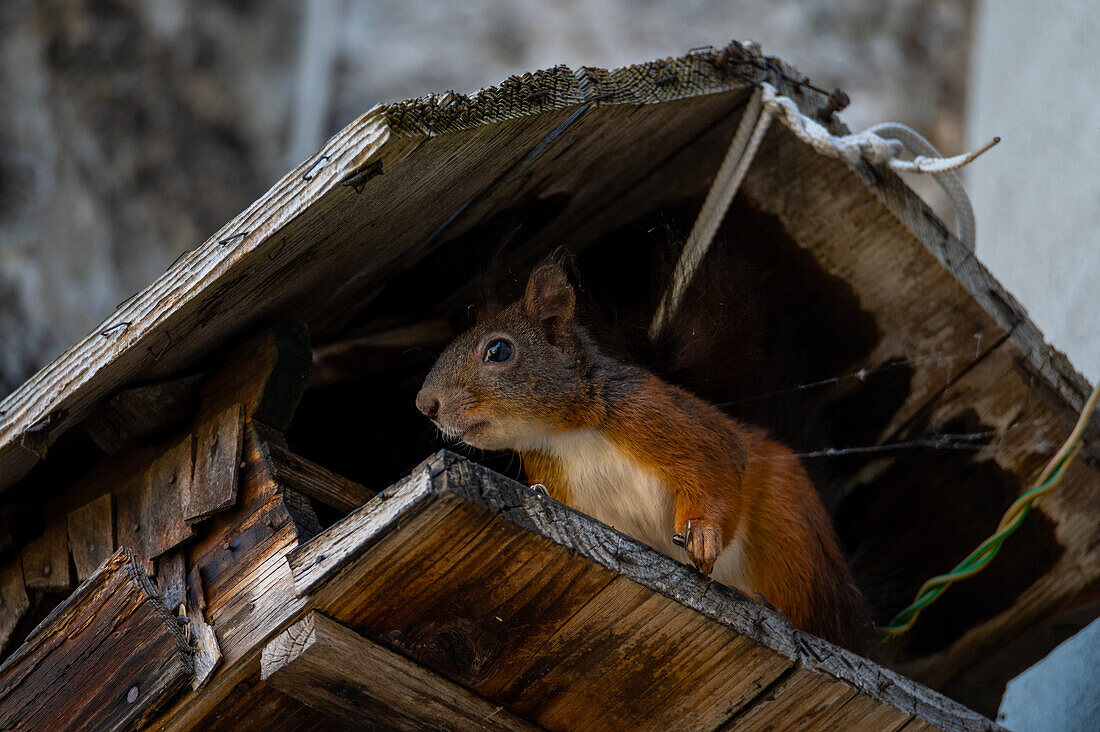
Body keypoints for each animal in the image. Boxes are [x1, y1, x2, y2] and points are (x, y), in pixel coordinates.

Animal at [415, 260, 871, 647]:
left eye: (498, 351)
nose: (425, 404)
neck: (569, 435)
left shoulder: (670, 419)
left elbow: (717, 476)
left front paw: (703, 536)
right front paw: (539, 495)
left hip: (789, 530)